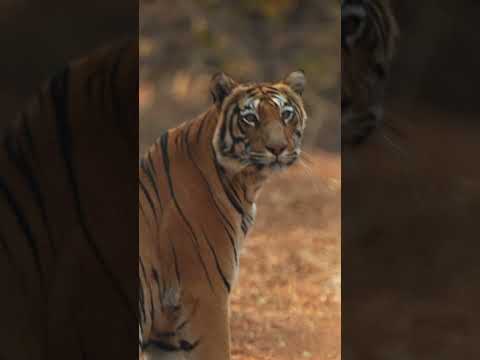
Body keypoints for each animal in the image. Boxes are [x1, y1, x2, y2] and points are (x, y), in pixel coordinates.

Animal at [139, 69, 310, 358]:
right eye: (250, 118)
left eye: (286, 114)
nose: (278, 148)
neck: (245, 184)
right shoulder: (205, 294)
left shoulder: (165, 330)